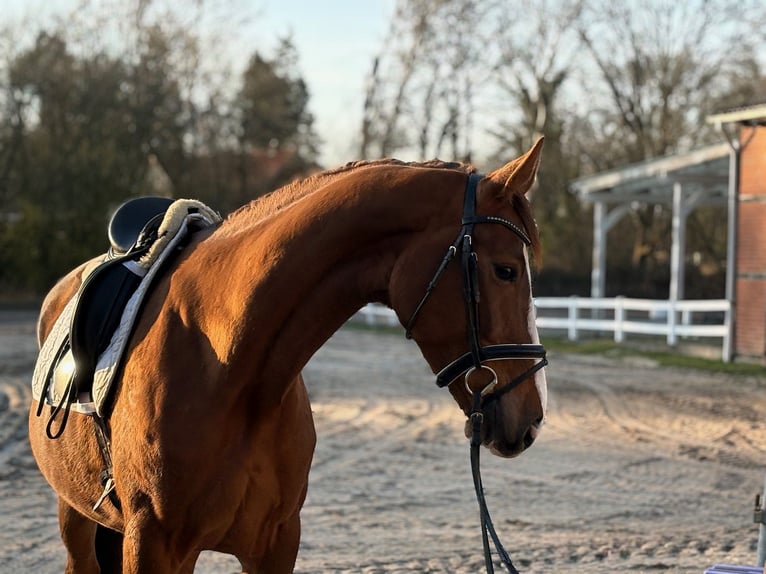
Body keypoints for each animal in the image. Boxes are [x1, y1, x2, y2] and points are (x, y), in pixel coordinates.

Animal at [29, 138, 548, 573]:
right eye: (505, 270)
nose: (532, 419)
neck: (234, 371)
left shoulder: (276, 542)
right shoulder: (154, 543)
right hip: (75, 517)